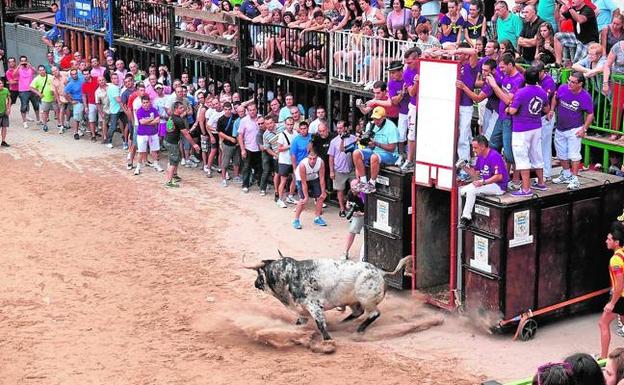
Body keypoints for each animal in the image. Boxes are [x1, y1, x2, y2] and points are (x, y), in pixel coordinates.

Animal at [243, 250, 410, 340]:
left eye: (259, 273)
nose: (255, 283)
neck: (289, 276)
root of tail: (380, 272)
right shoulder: (302, 310)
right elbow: (300, 323)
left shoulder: (314, 305)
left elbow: (320, 324)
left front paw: (328, 341)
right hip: (353, 301)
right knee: (358, 312)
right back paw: (342, 324)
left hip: (366, 299)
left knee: (374, 314)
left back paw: (359, 330)